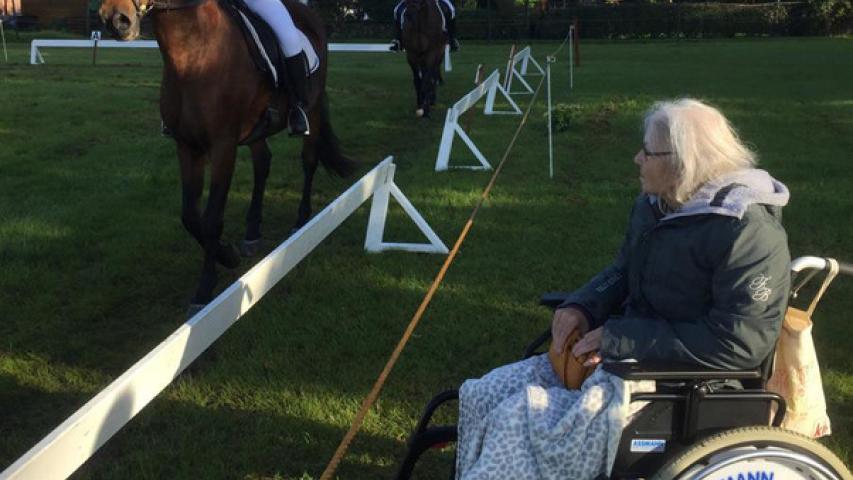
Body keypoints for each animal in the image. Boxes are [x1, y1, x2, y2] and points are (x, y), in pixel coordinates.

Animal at [98, 0, 355, 310]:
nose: (115, 19)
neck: (195, 53)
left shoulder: (223, 147)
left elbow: (211, 220)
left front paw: (205, 289)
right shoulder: (187, 146)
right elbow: (190, 216)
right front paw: (228, 255)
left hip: (312, 111)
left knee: (309, 161)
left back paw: (302, 222)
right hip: (257, 130)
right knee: (263, 163)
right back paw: (252, 233)